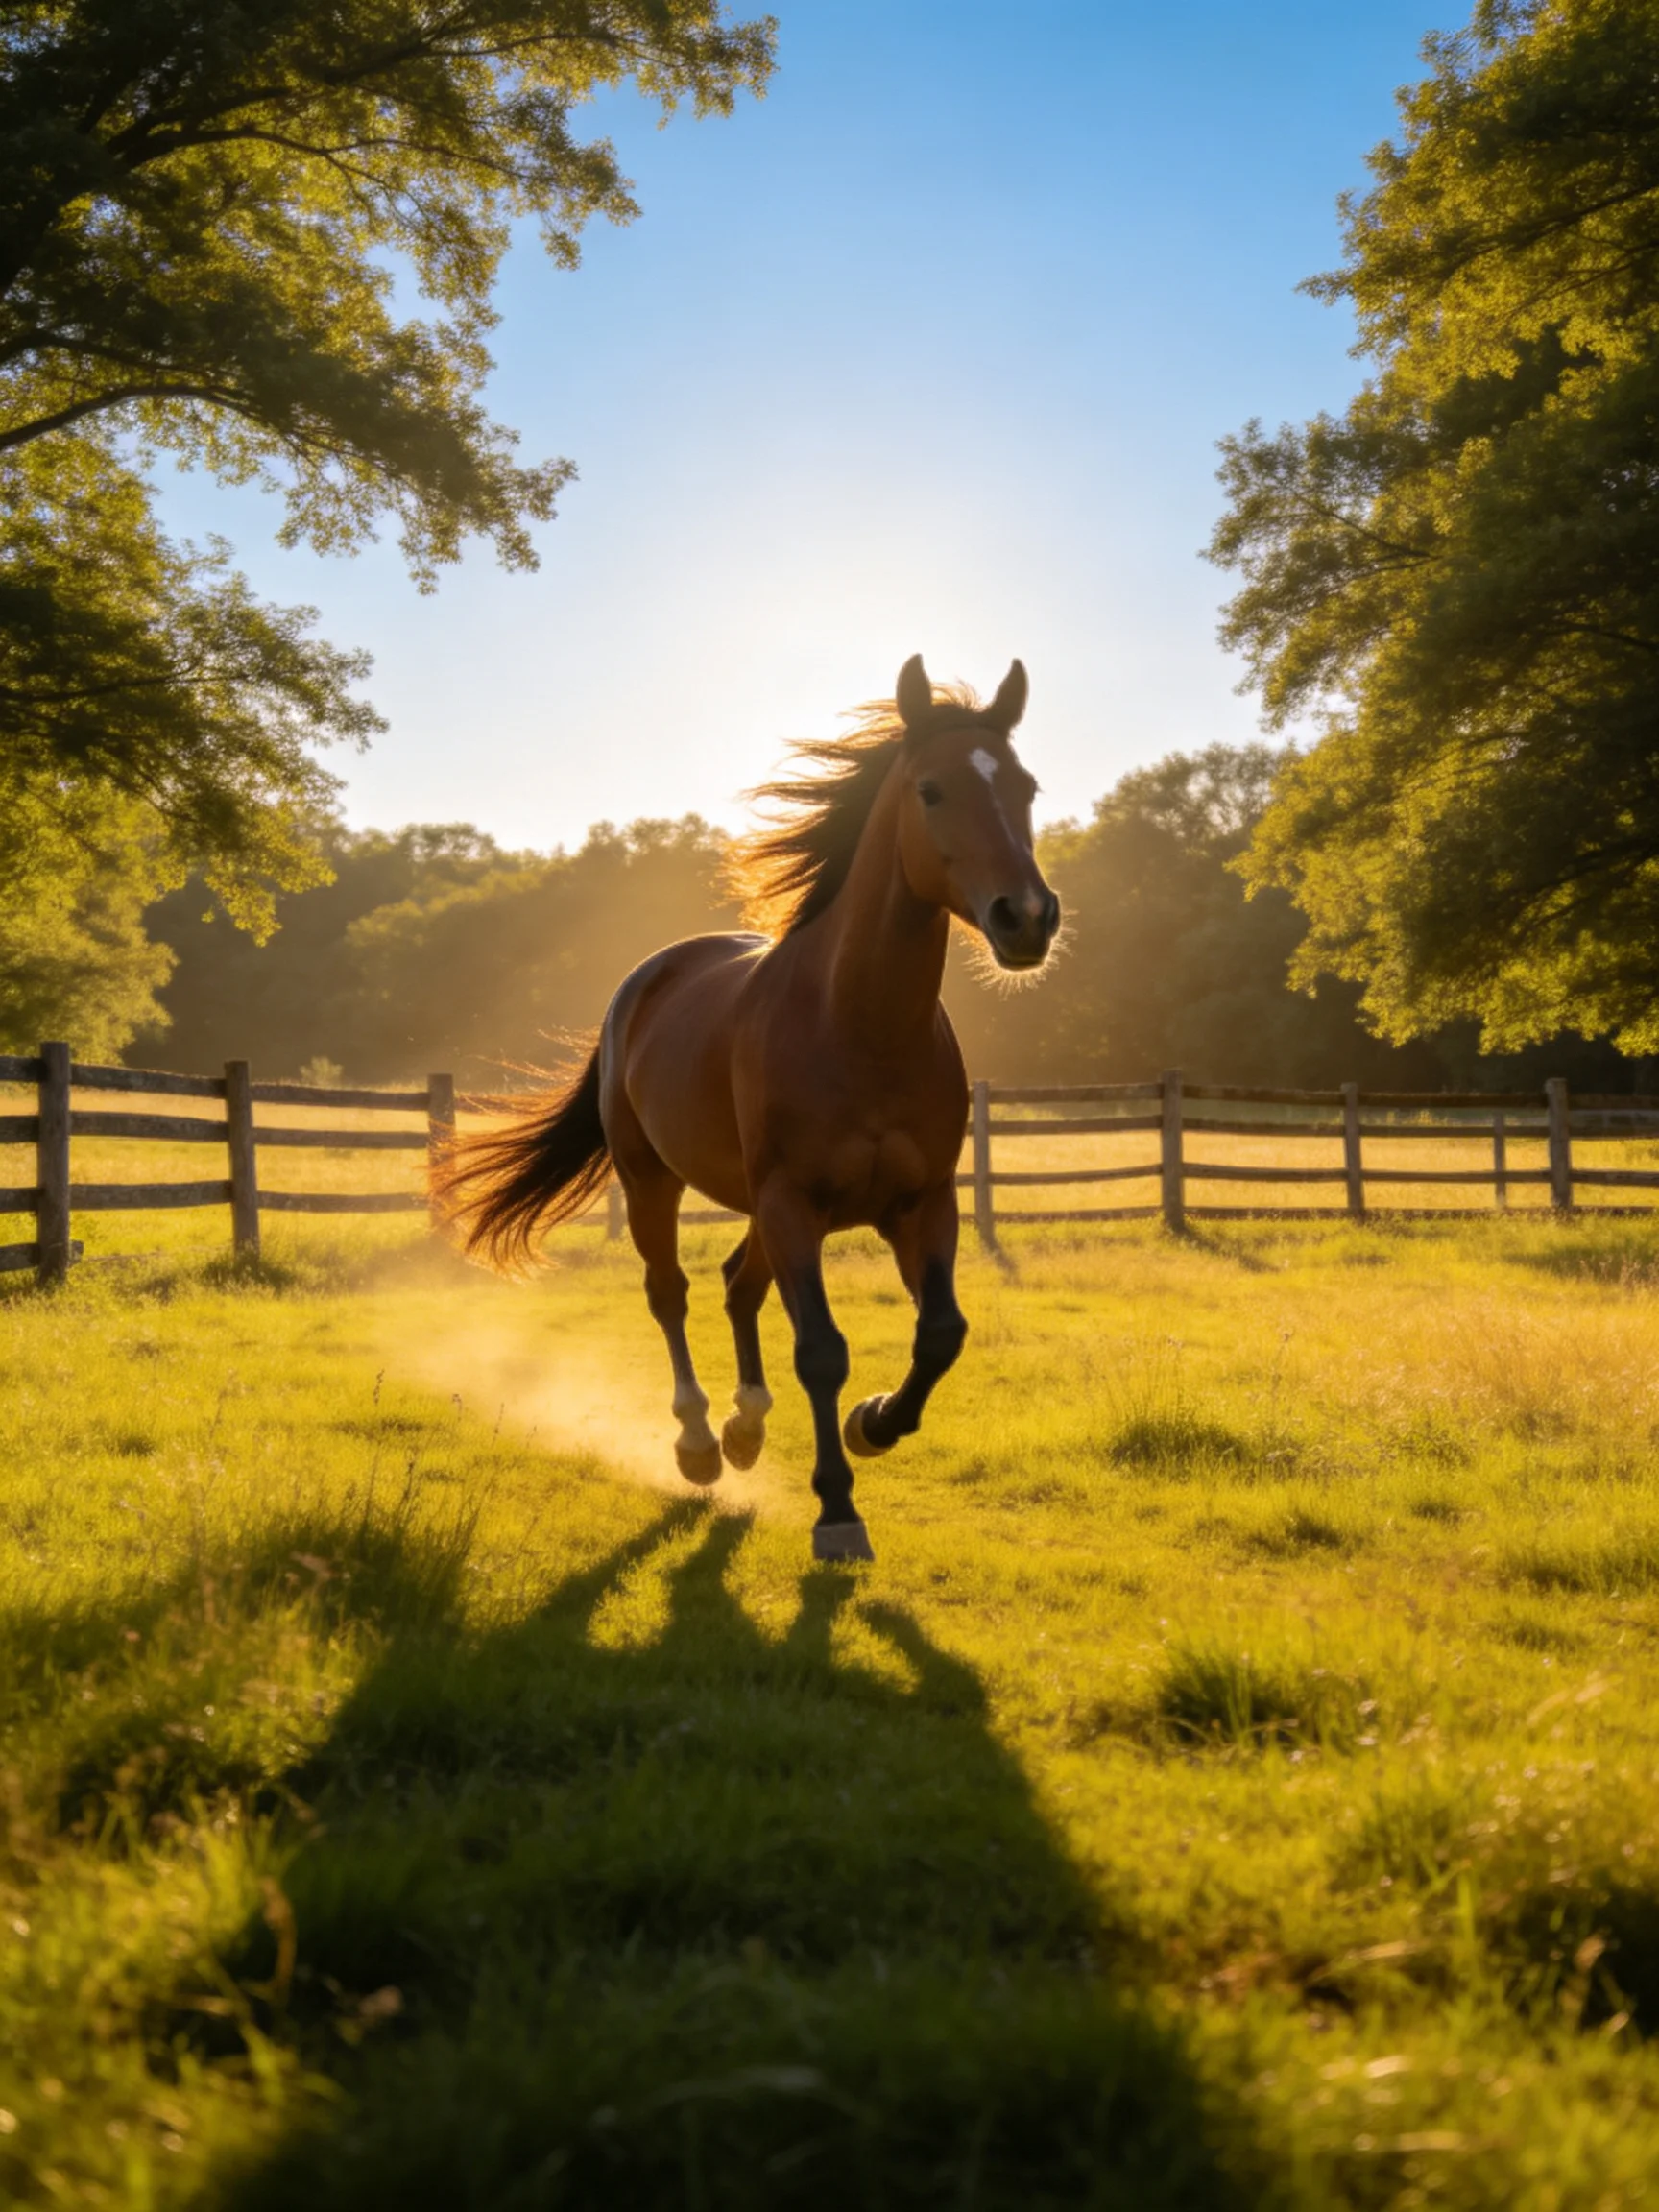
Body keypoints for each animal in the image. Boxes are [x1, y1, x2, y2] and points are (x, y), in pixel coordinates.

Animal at [433, 655, 1061, 1561]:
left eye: (1026, 787)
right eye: (932, 790)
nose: (1028, 918)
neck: (858, 1025)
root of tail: (645, 979)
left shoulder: (921, 1202)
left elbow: (941, 1334)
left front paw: (875, 1423)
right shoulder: (792, 1203)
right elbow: (822, 1352)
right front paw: (837, 1510)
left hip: (768, 1210)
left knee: (737, 1285)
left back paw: (745, 1428)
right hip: (656, 1181)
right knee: (672, 1293)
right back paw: (699, 1442)